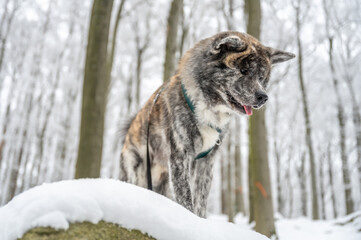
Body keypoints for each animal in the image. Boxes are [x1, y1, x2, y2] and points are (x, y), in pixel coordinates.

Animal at [119, 31, 294, 217]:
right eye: (243, 70)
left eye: (262, 77)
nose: (263, 97)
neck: (210, 109)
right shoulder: (180, 158)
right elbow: (186, 199)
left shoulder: (206, 163)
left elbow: (201, 200)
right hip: (134, 171)